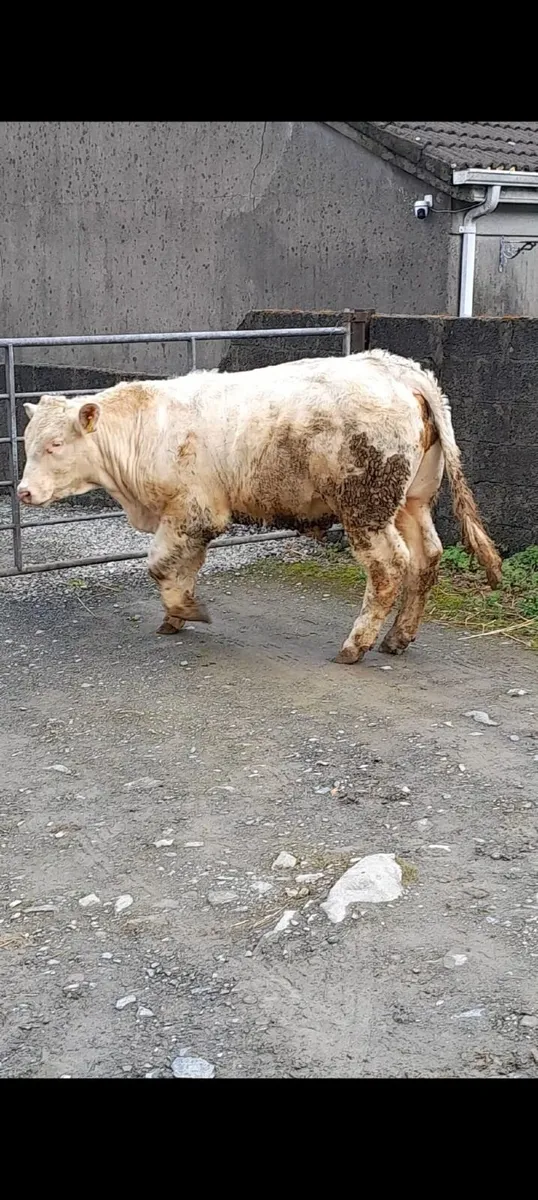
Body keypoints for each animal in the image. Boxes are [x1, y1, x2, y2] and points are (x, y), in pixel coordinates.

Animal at [18, 350, 502, 663]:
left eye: (55, 443)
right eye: (25, 442)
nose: (22, 492)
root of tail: (400, 370)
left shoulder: (194, 510)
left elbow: (158, 564)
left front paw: (186, 609)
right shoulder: (187, 519)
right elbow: (181, 566)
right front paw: (177, 614)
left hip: (365, 507)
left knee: (390, 567)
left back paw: (356, 645)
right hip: (410, 502)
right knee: (427, 557)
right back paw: (398, 638)